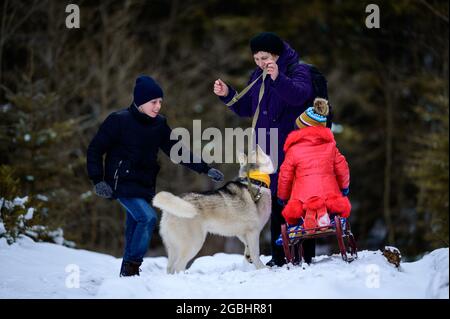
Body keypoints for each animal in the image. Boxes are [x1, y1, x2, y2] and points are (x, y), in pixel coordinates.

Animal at [153, 146, 276, 274]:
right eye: (255, 152)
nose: (256, 145)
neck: (256, 182)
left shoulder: (242, 233)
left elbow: (248, 248)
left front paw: (249, 257)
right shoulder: (253, 231)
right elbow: (256, 253)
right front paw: (262, 268)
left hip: (173, 247)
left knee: (170, 268)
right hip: (194, 244)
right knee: (178, 267)